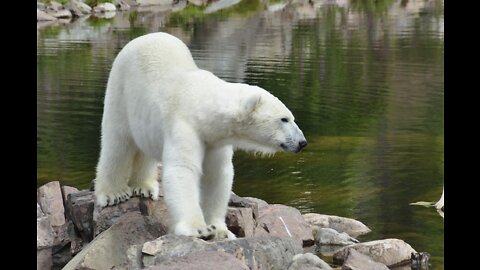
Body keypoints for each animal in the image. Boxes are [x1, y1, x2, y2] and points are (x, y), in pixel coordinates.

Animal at [94, 32, 306, 239]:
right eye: (284, 119)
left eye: (291, 117)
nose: (302, 142)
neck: (202, 106)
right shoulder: (185, 125)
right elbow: (183, 170)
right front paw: (198, 229)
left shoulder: (215, 140)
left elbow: (217, 176)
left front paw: (220, 230)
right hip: (120, 88)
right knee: (117, 143)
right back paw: (113, 194)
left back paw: (145, 187)